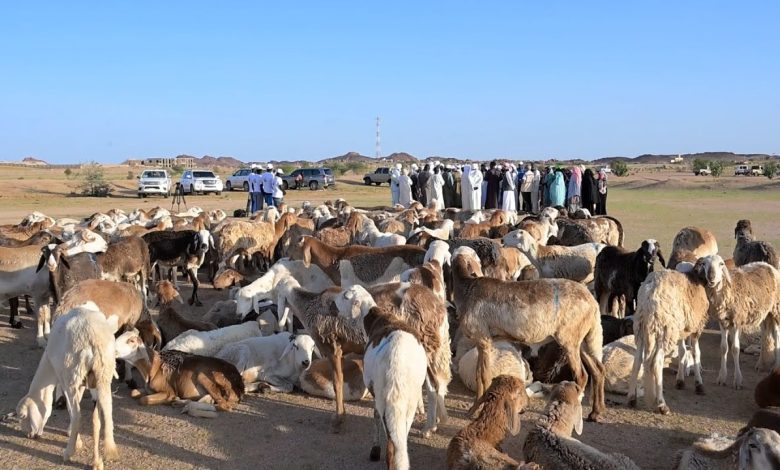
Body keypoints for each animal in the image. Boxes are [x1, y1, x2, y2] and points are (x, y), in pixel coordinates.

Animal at [15, 304, 117, 470]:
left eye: (23, 416)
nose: (29, 435)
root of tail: (92, 336)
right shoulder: (85, 382)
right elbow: (95, 416)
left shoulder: (62, 377)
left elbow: (69, 409)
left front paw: (76, 441)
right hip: (103, 373)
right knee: (104, 414)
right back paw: (101, 458)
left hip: (71, 373)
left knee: (77, 414)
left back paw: (68, 452)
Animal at [115, 330, 244, 412]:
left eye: (131, 341)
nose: (114, 349)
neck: (153, 367)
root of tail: (239, 383)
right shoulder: (148, 389)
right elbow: (133, 392)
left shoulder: (168, 390)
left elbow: (143, 399)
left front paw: (173, 398)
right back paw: (181, 402)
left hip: (205, 377)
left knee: (224, 406)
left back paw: (181, 403)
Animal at [330, 288, 426, 468]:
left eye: (346, 296)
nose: (332, 304)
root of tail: (397, 358)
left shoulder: (374, 389)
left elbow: (374, 416)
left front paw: (375, 449)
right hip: (410, 397)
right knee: (400, 436)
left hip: (384, 396)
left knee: (391, 440)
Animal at [448, 248, 608, 420]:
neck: (467, 289)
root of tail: (592, 302)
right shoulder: (482, 342)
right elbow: (481, 375)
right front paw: (475, 408)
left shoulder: (483, 339)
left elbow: (483, 376)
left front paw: (475, 410)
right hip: (583, 338)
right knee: (598, 370)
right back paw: (597, 412)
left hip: (569, 339)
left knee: (581, 375)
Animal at [628, 260, 712, 414]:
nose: (712, 279)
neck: (695, 278)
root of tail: (649, 295)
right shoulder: (696, 327)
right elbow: (696, 353)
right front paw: (699, 384)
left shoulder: (682, 329)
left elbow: (683, 351)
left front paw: (681, 379)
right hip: (665, 329)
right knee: (656, 363)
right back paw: (661, 404)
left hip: (641, 329)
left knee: (637, 362)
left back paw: (632, 398)